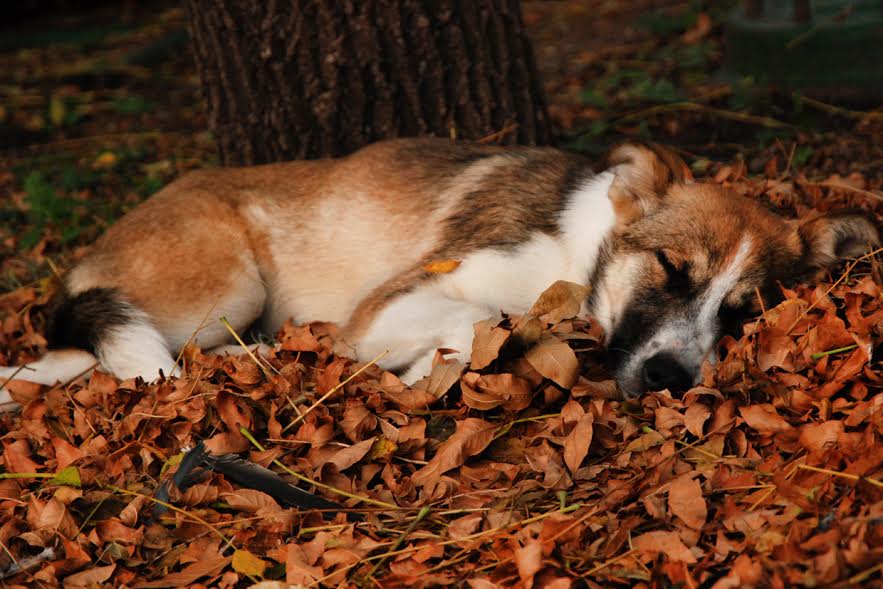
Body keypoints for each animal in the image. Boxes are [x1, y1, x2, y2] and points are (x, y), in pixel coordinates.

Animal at [0, 138, 876, 404]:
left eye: (741, 312)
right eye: (670, 268)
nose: (669, 378)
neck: (574, 263)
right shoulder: (394, 299)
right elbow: (479, 318)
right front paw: (428, 364)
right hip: (223, 285)